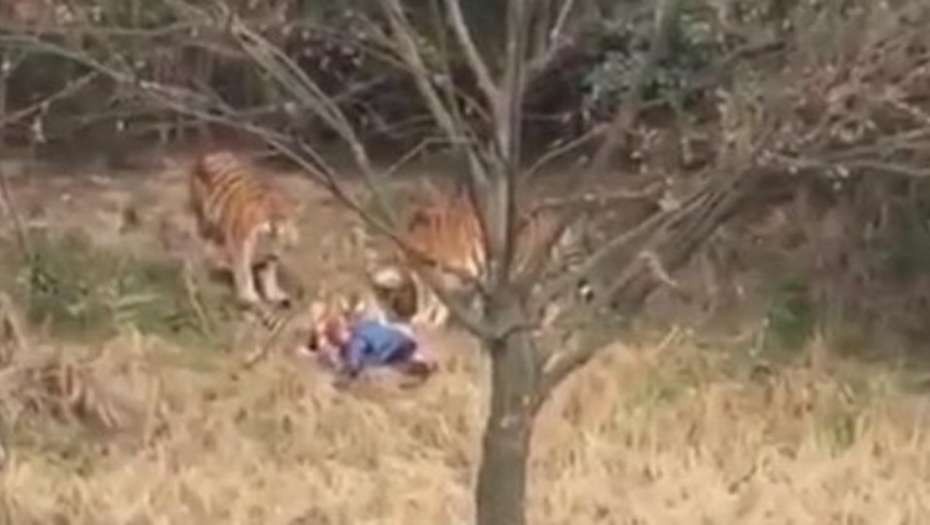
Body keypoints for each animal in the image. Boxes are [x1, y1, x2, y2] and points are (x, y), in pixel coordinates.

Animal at [188, 150, 301, 308]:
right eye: (266, 216)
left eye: (283, 217)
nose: (274, 227)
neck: (265, 240)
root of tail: (211, 154)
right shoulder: (240, 248)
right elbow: (244, 272)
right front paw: (248, 296)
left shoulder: (271, 254)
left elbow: (269, 275)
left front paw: (273, 294)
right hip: (206, 220)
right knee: (208, 244)